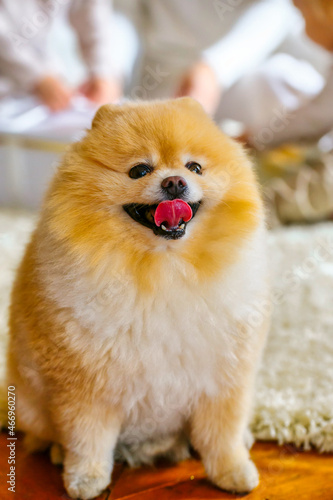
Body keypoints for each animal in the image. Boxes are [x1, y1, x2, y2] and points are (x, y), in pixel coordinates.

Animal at [7, 98, 268, 500]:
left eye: (195, 167)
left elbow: (221, 433)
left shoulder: (222, 376)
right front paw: (85, 480)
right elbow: (87, 438)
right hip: (30, 401)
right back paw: (56, 451)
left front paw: (233, 471)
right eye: (139, 170)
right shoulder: (85, 387)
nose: (175, 181)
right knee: (43, 433)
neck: (162, 269)